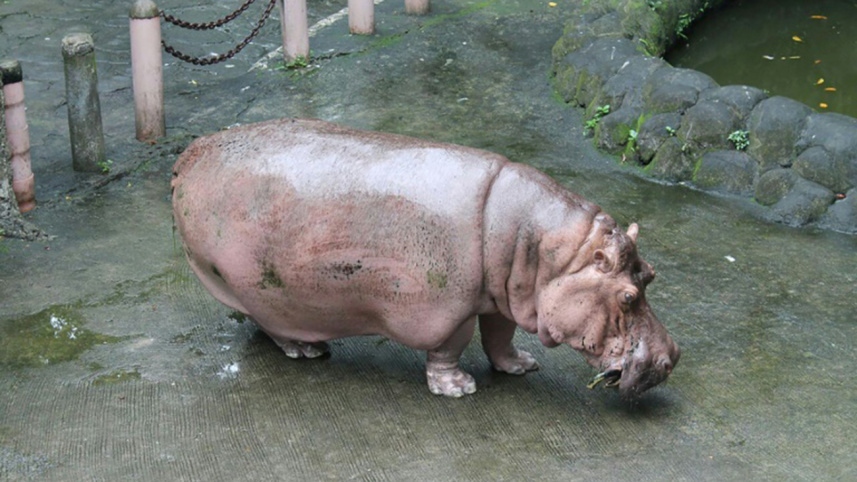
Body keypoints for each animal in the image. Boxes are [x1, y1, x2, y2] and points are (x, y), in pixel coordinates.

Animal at [171, 118, 680, 398]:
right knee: (272, 324)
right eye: (628, 296)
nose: (671, 357)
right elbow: (452, 346)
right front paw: (459, 389)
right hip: (253, 285)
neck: (545, 253)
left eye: (651, 274)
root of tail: (191, 152)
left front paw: (520, 366)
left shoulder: (503, 297)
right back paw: (307, 350)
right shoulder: (450, 308)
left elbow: (500, 335)